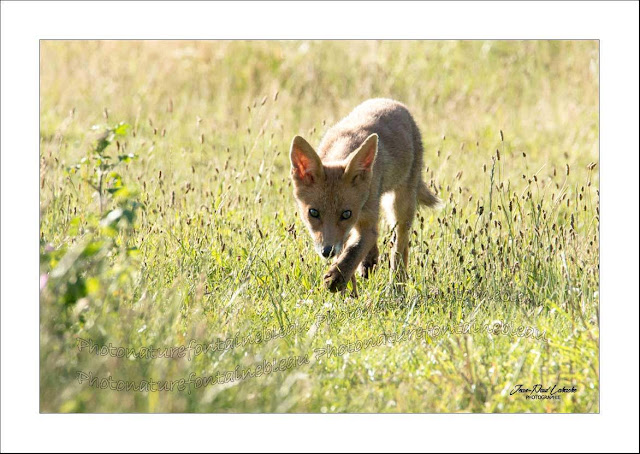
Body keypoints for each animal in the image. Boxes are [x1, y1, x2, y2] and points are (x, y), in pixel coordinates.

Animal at [290, 98, 440, 294]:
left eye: (346, 214)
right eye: (313, 213)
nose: (327, 251)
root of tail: (392, 102)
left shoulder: (365, 222)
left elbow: (355, 250)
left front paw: (337, 278)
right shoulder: (346, 232)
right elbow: (349, 252)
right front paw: (349, 290)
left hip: (399, 206)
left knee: (400, 246)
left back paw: (397, 285)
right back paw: (370, 263)